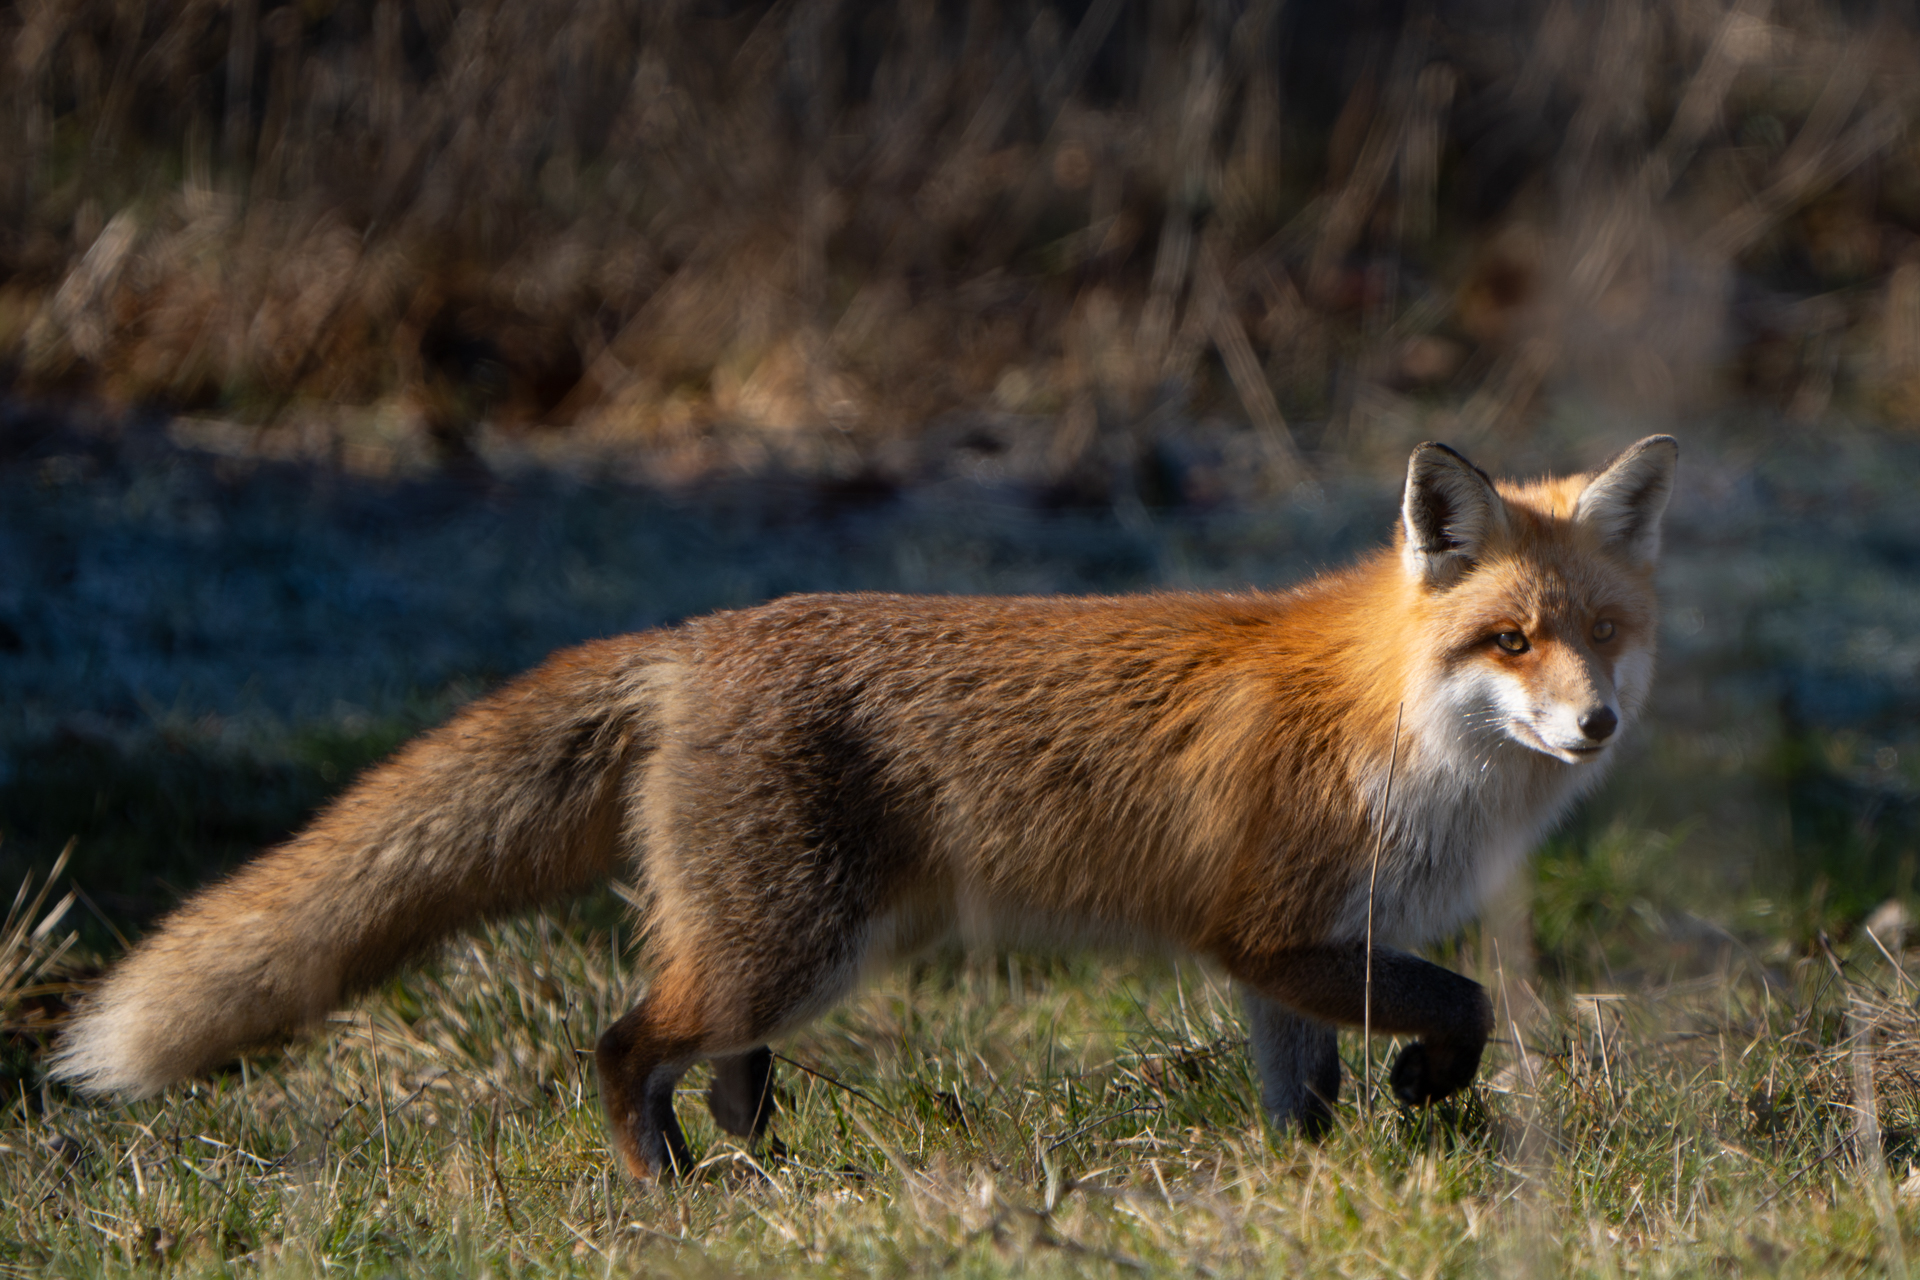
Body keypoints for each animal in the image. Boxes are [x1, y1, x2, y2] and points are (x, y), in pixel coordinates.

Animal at [52, 437, 1674, 1182]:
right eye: (1511, 641)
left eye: (1605, 632)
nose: (1596, 725)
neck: (1401, 725)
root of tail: (694, 638)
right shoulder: (1282, 932)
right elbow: (1465, 1003)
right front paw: (1427, 1088)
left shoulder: (1282, 955)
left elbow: (1309, 1102)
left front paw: (1323, 1174)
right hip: (792, 944)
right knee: (623, 1043)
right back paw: (674, 1194)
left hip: (791, 947)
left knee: (719, 1067)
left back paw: (762, 1174)